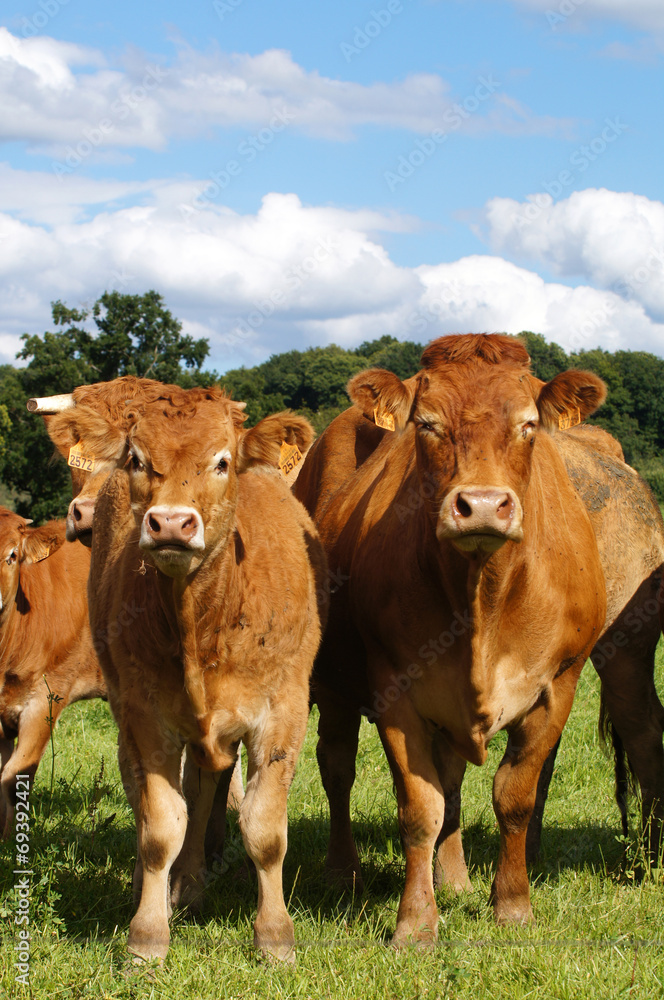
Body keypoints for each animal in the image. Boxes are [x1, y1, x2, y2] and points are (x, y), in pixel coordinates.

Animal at [45, 388, 326, 960]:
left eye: (222, 461)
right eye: (137, 460)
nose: (172, 523)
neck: (205, 618)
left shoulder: (284, 710)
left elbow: (264, 830)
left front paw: (275, 937)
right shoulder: (146, 715)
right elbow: (159, 827)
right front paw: (147, 935)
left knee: (204, 789)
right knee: (152, 795)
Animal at [296, 336, 608, 936]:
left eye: (529, 424)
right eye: (427, 424)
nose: (482, 506)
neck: (483, 597)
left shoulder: (559, 684)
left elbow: (513, 796)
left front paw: (512, 905)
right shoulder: (394, 687)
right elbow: (421, 808)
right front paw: (416, 923)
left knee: (454, 778)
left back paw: (456, 877)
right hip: (336, 687)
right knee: (337, 767)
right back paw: (343, 872)